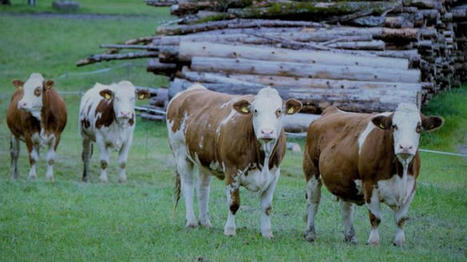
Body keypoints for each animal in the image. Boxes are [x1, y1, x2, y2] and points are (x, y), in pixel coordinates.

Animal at [166, 85, 302, 238]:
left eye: (278, 111)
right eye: (255, 111)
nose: (266, 132)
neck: (263, 160)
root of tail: (192, 89)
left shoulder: (274, 174)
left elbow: (267, 207)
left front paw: (267, 233)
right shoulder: (232, 172)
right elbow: (234, 204)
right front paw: (230, 230)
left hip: (204, 159)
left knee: (203, 188)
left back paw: (205, 222)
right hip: (180, 154)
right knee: (188, 186)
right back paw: (191, 222)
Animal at [306, 103, 444, 246]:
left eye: (418, 127)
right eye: (394, 126)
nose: (405, 147)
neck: (400, 173)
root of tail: (331, 110)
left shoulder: (411, 187)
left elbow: (401, 219)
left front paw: (399, 241)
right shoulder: (369, 184)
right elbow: (375, 217)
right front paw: (373, 241)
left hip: (345, 179)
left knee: (346, 208)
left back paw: (350, 236)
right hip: (311, 171)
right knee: (313, 202)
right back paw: (310, 234)